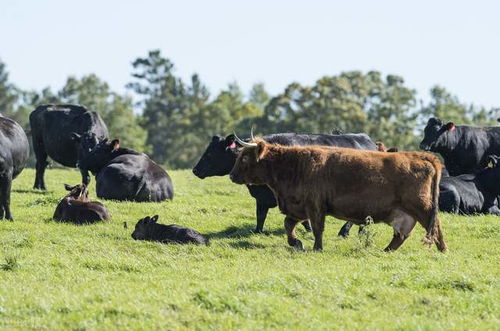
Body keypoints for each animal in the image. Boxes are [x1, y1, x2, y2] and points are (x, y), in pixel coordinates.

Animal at [191, 132, 376, 233]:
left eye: (210, 153)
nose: (195, 170)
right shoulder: (261, 197)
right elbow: (260, 216)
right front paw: (258, 231)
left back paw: (345, 232)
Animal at [229, 136, 448, 253]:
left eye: (245, 157)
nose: (232, 175)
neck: (295, 165)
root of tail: (421, 157)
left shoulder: (315, 207)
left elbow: (317, 229)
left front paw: (316, 248)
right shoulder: (299, 208)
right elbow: (288, 225)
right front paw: (296, 243)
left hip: (422, 207)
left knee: (435, 226)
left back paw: (443, 250)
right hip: (405, 213)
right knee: (401, 235)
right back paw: (386, 251)